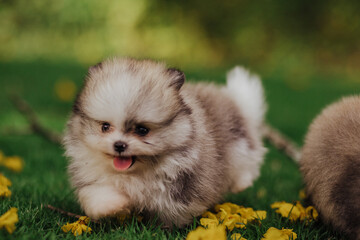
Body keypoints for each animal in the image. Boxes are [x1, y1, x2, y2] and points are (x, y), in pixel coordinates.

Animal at [63, 57, 268, 227]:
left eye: (142, 130)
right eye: (105, 127)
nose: (119, 145)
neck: (136, 173)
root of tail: (235, 101)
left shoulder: (182, 189)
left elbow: (173, 211)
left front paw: (165, 229)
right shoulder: (93, 175)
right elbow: (100, 193)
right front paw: (115, 205)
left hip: (239, 144)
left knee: (246, 164)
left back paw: (241, 182)